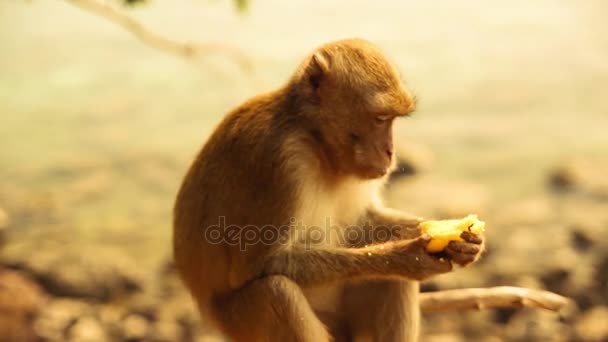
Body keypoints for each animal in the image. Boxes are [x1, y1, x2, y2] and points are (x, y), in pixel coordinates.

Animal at [172, 38, 484, 342]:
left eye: (393, 119)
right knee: (275, 291)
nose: (390, 152)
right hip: (238, 323)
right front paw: (404, 257)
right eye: (381, 118)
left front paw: (463, 240)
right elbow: (257, 265)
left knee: (391, 281)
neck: (315, 141)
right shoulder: (279, 160)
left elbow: (363, 222)